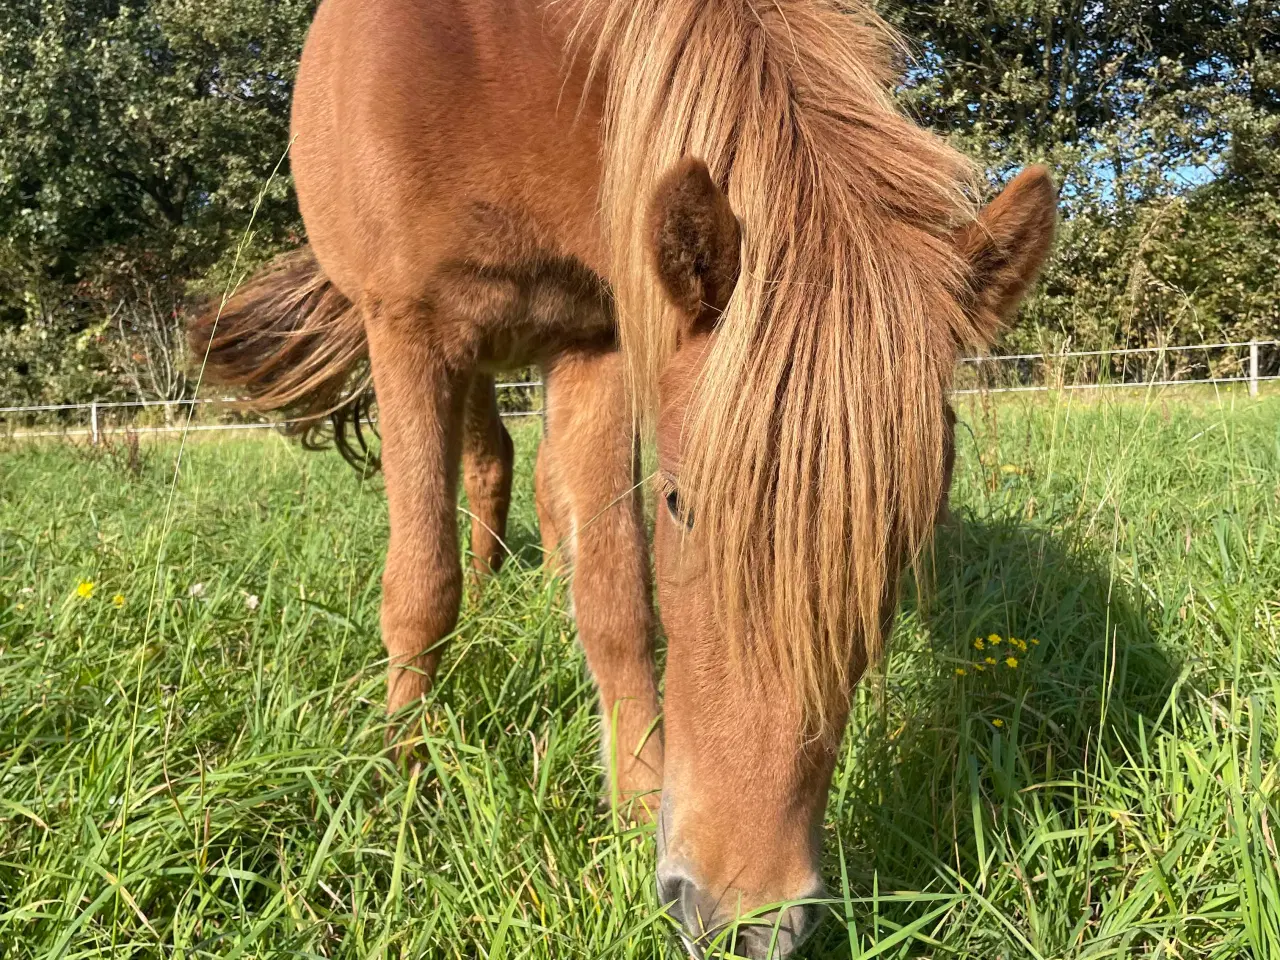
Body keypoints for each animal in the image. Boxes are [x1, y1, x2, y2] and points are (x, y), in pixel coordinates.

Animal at [186, 3, 1049, 957]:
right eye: (680, 503)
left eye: (907, 540)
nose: (744, 921)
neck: (488, 57)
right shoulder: (408, 323)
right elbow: (421, 587)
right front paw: (403, 785)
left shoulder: (594, 335)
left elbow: (616, 600)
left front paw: (635, 806)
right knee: (482, 474)